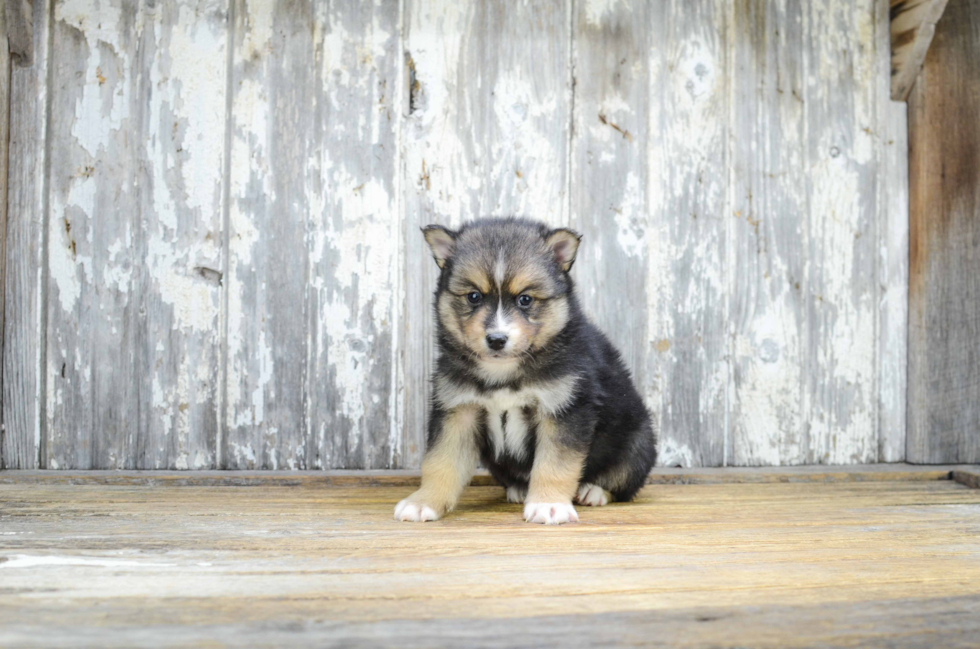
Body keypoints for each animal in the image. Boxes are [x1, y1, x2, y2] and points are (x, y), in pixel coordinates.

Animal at [392, 219, 660, 528]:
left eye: (525, 299)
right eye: (474, 296)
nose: (496, 339)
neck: (504, 373)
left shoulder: (564, 409)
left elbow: (555, 464)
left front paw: (549, 505)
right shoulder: (458, 409)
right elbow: (440, 462)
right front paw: (423, 502)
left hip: (638, 442)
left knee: (623, 481)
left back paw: (593, 491)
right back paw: (519, 488)